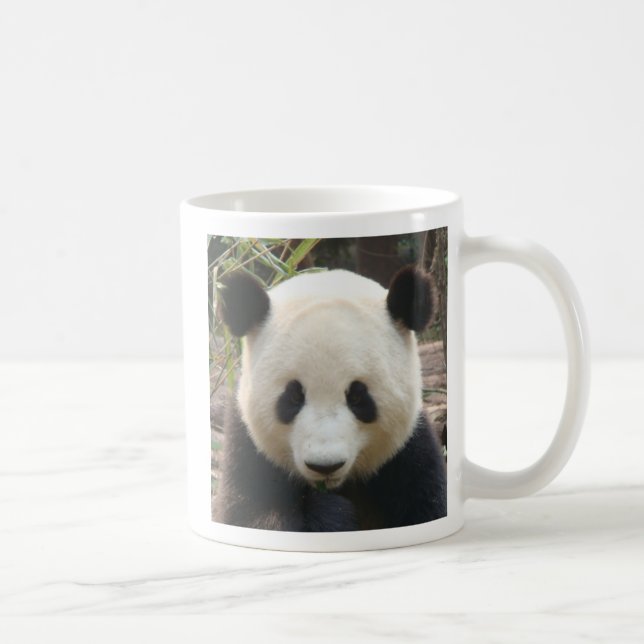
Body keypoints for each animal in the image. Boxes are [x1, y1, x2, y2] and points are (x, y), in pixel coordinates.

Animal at [214, 266, 447, 532]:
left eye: (357, 396)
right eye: (293, 396)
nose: (325, 466)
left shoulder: (411, 459)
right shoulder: (247, 453)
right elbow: (252, 517)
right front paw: (330, 512)